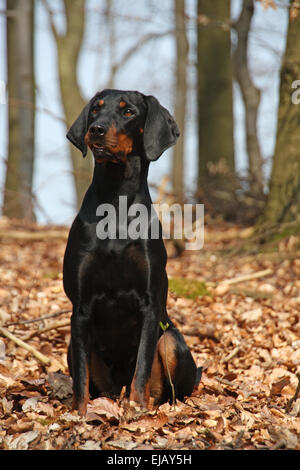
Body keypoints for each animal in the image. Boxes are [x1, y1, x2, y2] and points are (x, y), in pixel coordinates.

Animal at [64, 88, 203, 414]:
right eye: (95, 109)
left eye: (128, 112)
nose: (96, 129)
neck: (116, 202)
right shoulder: (81, 307)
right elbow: (81, 379)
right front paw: (80, 415)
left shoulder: (150, 304)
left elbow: (141, 366)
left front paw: (137, 410)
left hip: (171, 340)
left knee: (168, 388)